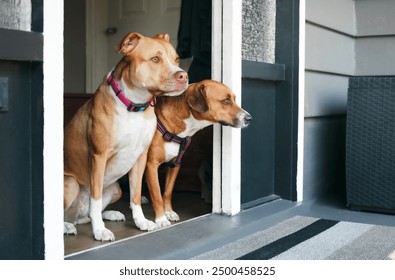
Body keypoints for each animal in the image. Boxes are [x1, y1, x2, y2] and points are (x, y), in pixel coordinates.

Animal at [63, 32, 189, 241]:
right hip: (72, 183)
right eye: (155, 59)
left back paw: (110, 214)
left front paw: (141, 221)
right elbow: (95, 199)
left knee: (83, 215)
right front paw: (100, 231)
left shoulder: (140, 157)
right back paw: (67, 226)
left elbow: (135, 195)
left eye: (176, 59)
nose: (184, 75)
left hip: (116, 189)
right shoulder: (99, 156)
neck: (135, 105)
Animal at [142, 80, 252, 229]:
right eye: (226, 100)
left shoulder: (175, 164)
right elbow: (157, 194)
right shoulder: (151, 165)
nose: (249, 118)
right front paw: (161, 218)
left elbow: (167, 191)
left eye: (234, 99)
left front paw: (169, 212)